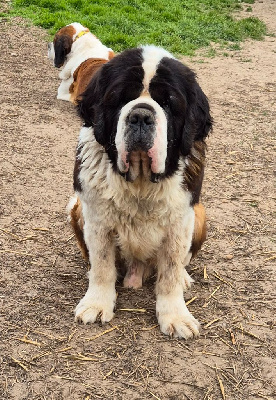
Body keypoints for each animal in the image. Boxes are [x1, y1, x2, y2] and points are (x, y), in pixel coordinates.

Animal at [68, 44, 212, 340]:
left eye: (168, 103)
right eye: (121, 99)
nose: (141, 116)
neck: (141, 180)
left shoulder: (181, 220)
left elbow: (170, 272)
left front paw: (176, 315)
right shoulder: (96, 217)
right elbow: (102, 265)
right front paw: (96, 303)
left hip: (200, 215)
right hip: (75, 208)